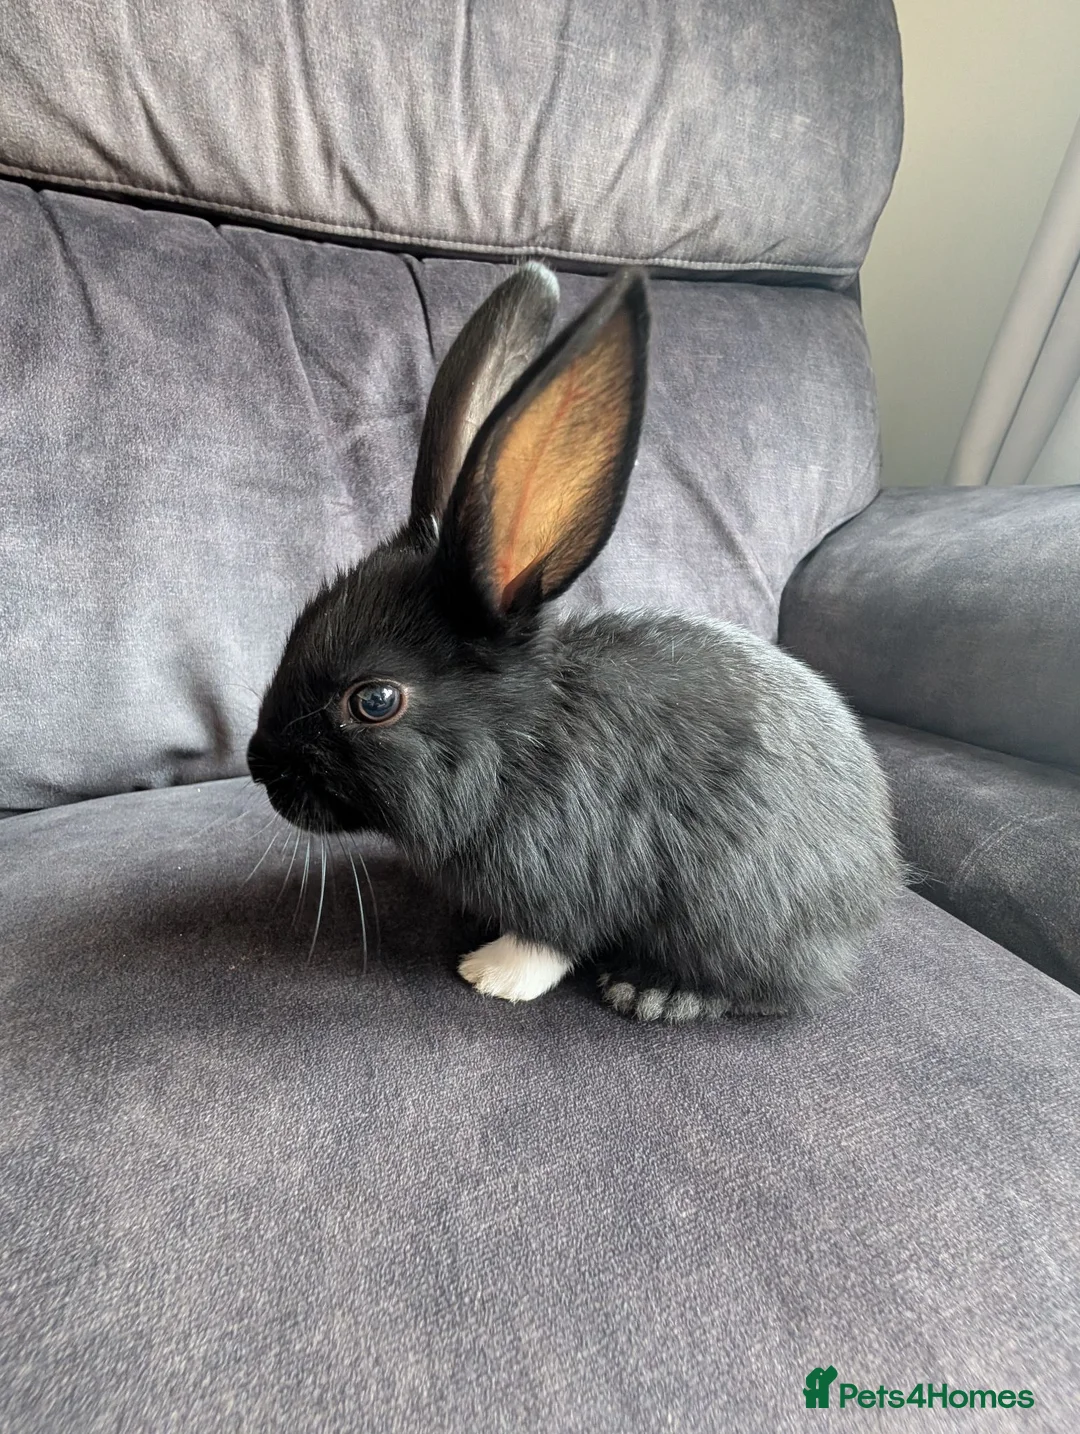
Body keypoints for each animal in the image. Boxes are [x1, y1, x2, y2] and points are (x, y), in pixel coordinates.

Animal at [247, 262, 903, 1022]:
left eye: (375, 701)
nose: (258, 765)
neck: (516, 746)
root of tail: (871, 885)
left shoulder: (568, 869)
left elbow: (550, 939)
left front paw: (492, 974)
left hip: (735, 911)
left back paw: (653, 992)